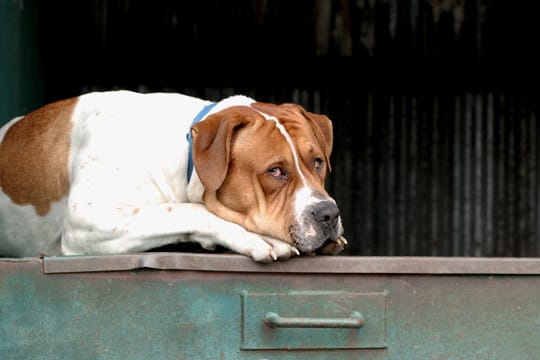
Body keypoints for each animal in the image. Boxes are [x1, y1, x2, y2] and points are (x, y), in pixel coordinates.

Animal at [0, 90, 346, 262]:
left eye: (317, 162)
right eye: (275, 171)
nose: (328, 214)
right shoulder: (87, 220)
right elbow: (188, 210)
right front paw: (258, 238)